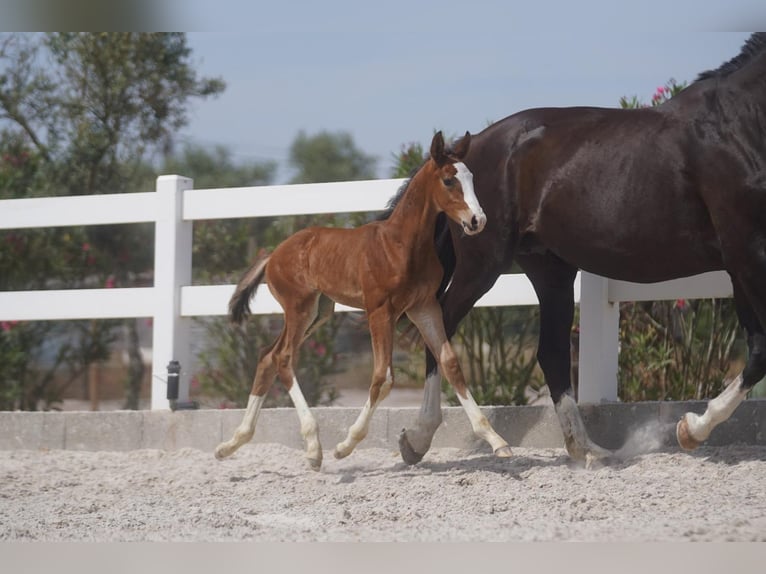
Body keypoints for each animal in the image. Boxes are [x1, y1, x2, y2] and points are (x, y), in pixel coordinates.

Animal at [213, 132, 512, 472]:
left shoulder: (424, 306)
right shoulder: (380, 312)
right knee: (283, 358)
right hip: (299, 307)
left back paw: (231, 444)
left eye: (472, 178)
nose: (478, 220)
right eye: (449, 180)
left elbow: (450, 363)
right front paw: (345, 445)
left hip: (319, 311)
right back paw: (313, 447)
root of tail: (273, 254)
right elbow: (383, 377)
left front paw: (497, 441)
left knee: (267, 356)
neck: (401, 245)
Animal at [400, 32, 766, 468]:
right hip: (482, 263)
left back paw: (587, 449)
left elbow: (759, 350)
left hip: (550, 269)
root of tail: (456, 157)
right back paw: (417, 439)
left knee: (552, 353)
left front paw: (690, 429)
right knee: (439, 328)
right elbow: (762, 351)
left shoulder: (743, 263)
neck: (742, 124)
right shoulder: (748, 253)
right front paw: (690, 429)